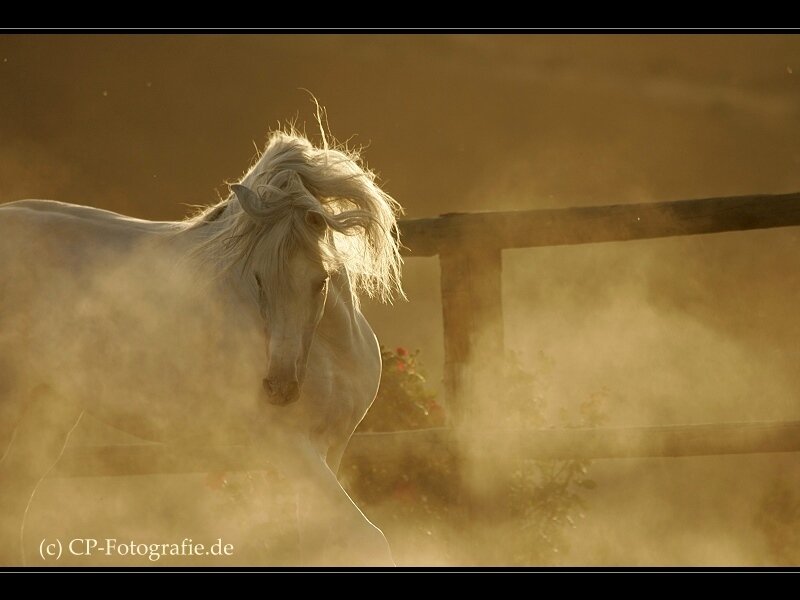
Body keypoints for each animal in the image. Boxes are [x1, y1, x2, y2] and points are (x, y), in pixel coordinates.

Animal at [0, 129, 404, 566]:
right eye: (258, 279)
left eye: (321, 279)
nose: (279, 387)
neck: (327, 350)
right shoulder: (288, 447)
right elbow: (368, 538)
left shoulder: (332, 447)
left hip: (47, 407)